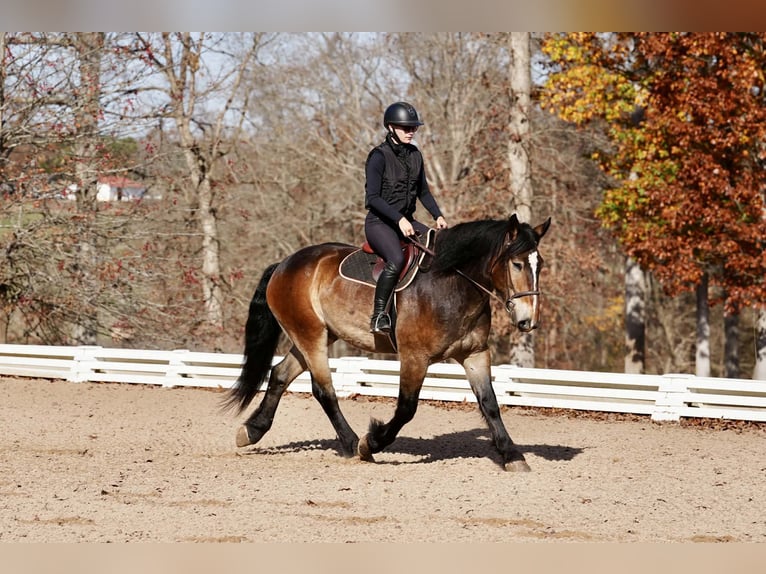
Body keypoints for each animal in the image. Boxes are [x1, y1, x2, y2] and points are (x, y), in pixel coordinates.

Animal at [225, 213, 551, 471]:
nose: (529, 321)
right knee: (323, 390)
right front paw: (371, 442)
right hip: (310, 335)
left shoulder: (475, 354)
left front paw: (512, 456)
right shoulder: (414, 357)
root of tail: (284, 264)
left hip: (316, 334)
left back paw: (251, 431)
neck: (451, 282)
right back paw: (352, 443)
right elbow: (406, 408)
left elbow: (490, 403)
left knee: (280, 374)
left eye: (541, 265)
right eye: (517, 264)